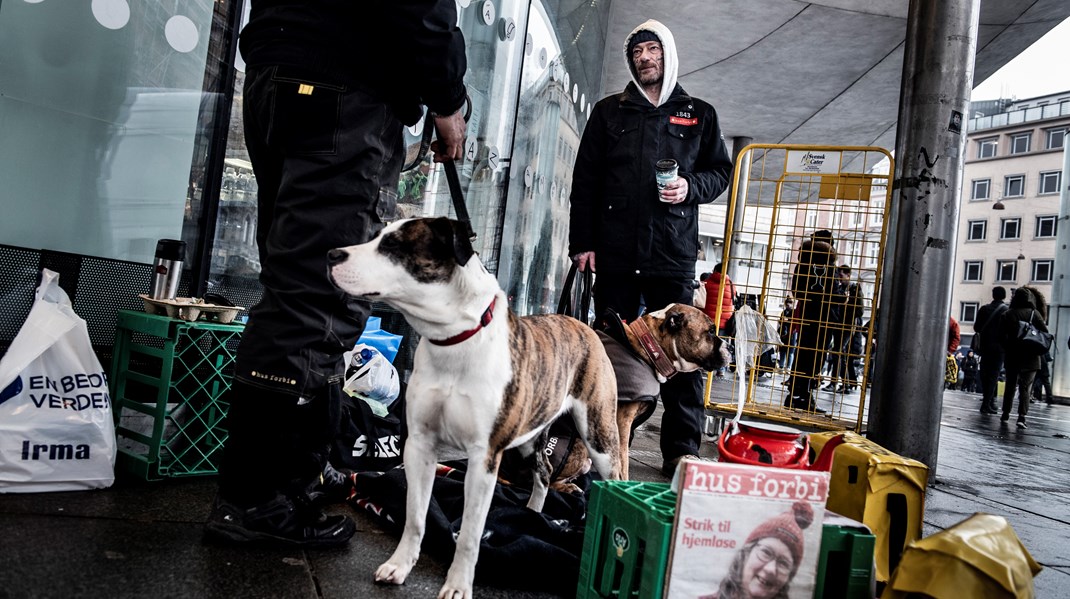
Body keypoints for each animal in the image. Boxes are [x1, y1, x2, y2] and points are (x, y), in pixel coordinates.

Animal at [329, 219, 624, 599]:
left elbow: (470, 533)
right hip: (530, 437)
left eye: (393, 245)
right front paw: (400, 565)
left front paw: (457, 585)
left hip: (599, 438)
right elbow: (415, 515)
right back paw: (533, 514)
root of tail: (581, 324)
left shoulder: (484, 457)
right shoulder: (420, 445)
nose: (332, 254)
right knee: (543, 472)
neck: (453, 339)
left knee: (616, 477)